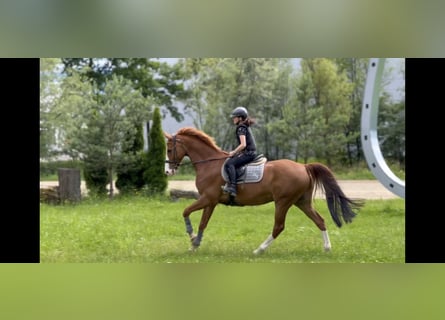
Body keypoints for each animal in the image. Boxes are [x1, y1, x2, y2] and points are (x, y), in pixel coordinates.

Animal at [165, 127, 362, 255]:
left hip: (283, 202)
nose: (168, 172)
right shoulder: (211, 201)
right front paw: (195, 244)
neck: (209, 164)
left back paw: (259, 250)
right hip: (302, 202)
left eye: (169, 149)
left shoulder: (207, 198)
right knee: (319, 220)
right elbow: (203, 223)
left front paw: (191, 237)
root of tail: (304, 166)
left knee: (279, 226)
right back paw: (327, 248)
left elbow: (186, 212)